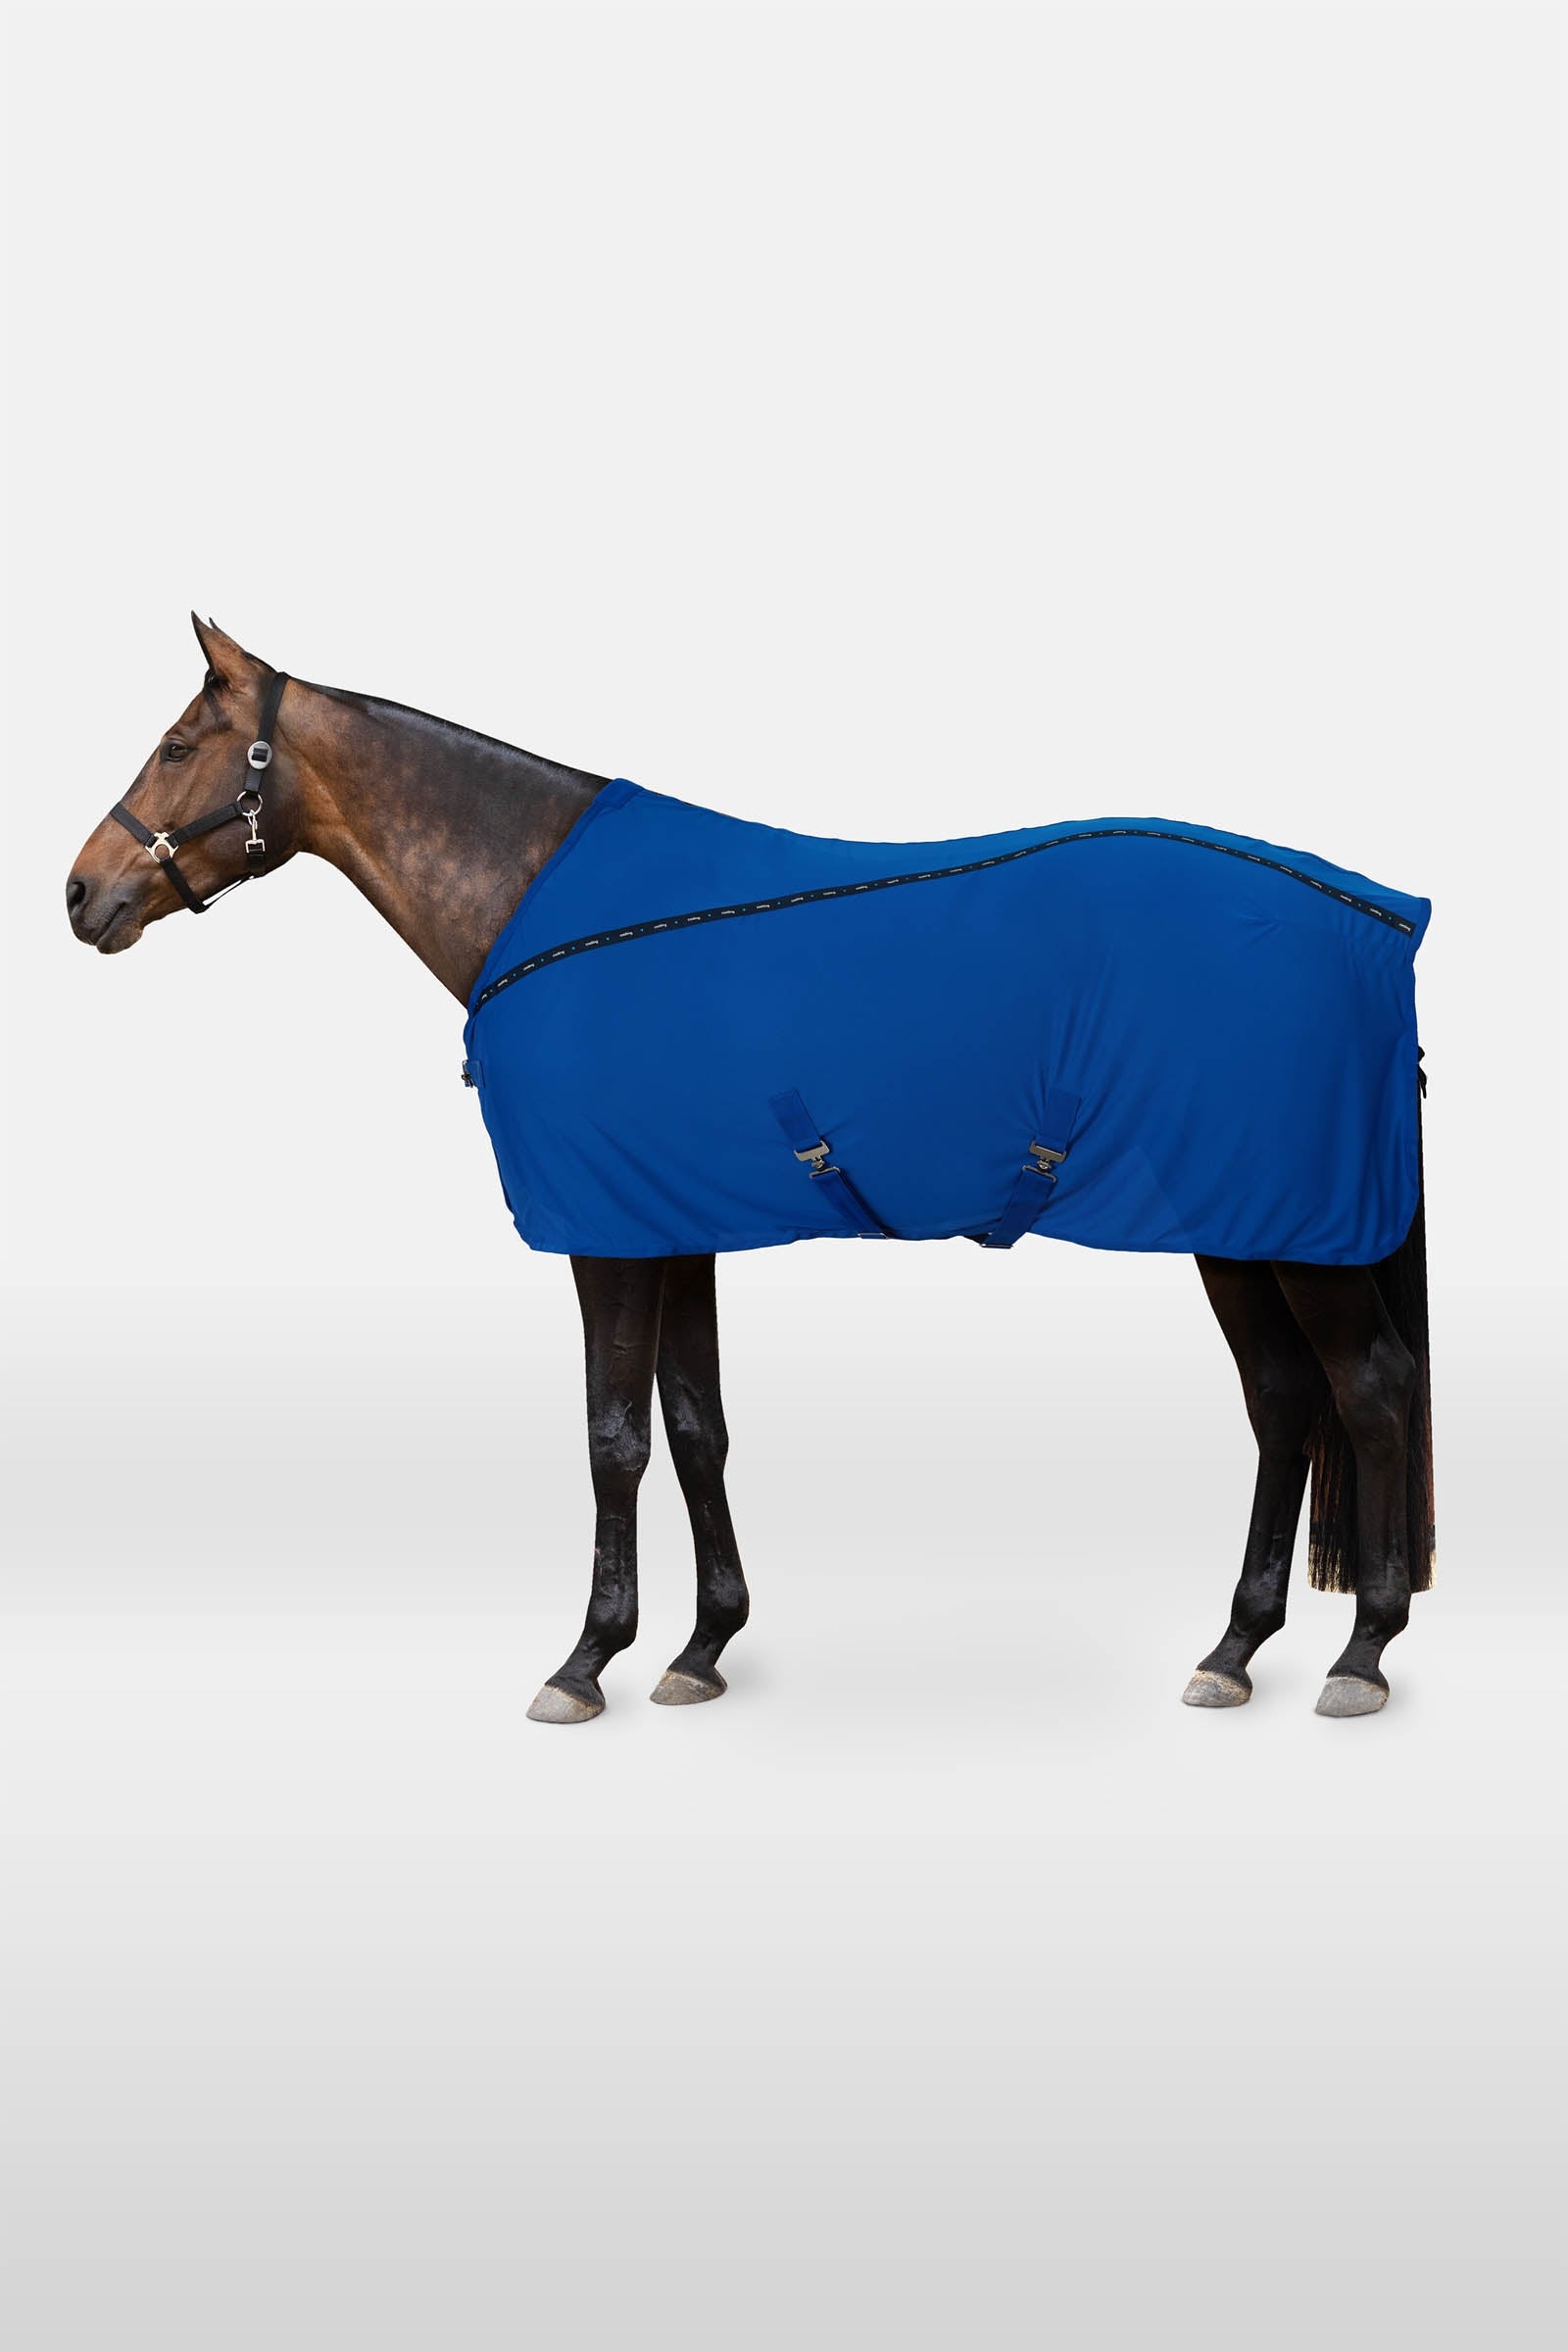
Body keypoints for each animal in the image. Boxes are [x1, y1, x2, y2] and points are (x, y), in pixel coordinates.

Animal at [66, 617, 1434, 1724]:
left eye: (180, 745)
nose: (81, 893)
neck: (539, 893)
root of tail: (1384, 913)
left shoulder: (607, 1233)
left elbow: (613, 1435)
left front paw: (587, 1660)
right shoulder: (673, 1221)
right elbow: (695, 1425)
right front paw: (701, 1645)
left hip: (1294, 1228)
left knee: (1367, 1392)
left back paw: (1360, 1652)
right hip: (1241, 1224)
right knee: (1284, 1402)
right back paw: (1235, 1647)